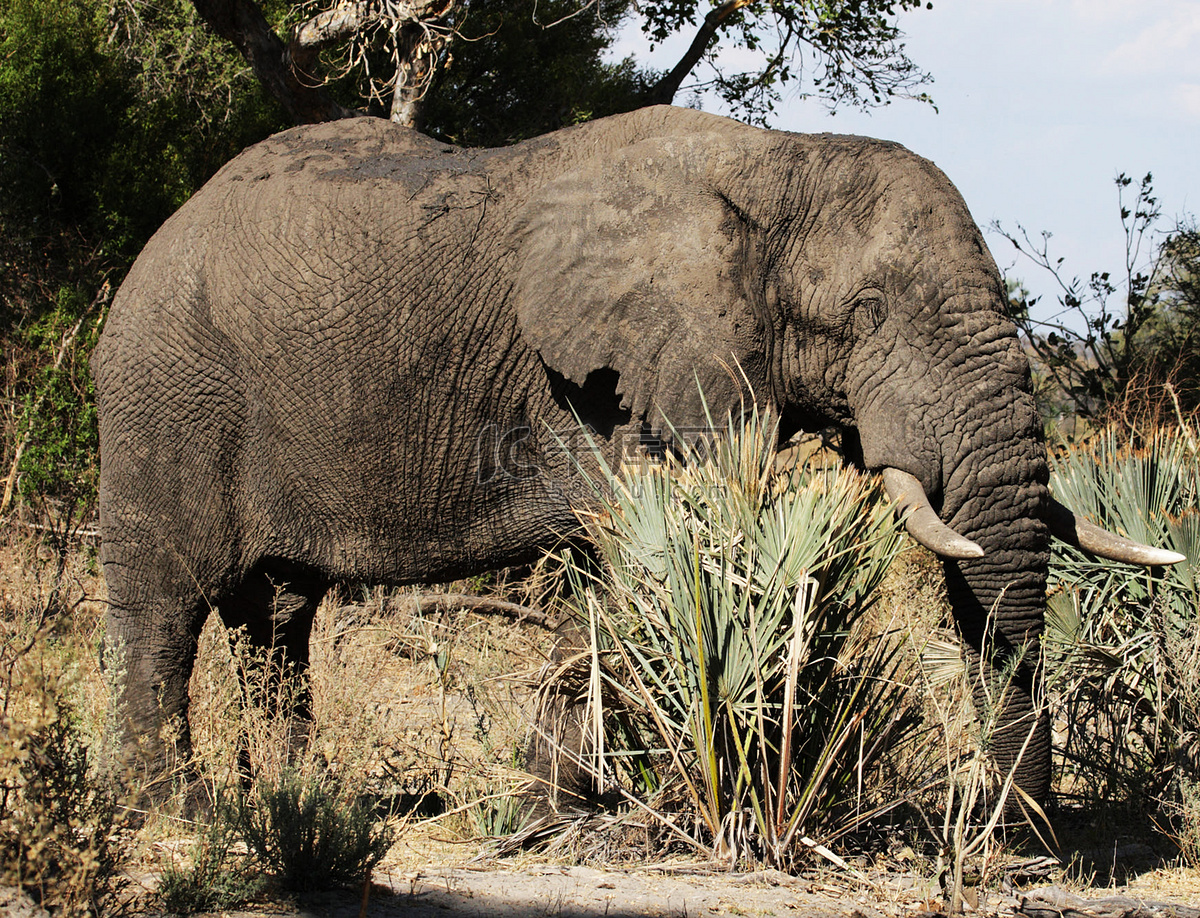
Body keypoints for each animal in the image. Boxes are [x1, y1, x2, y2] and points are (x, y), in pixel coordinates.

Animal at [93, 105, 1180, 811]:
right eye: (868, 313)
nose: (1015, 840)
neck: (774, 162)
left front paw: (546, 805)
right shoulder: (606, 383)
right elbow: (634, 559)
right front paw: (554, 810)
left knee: (276, 619)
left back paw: (302, 801)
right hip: (167, 397)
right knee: (165, 606)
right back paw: (183, 813)